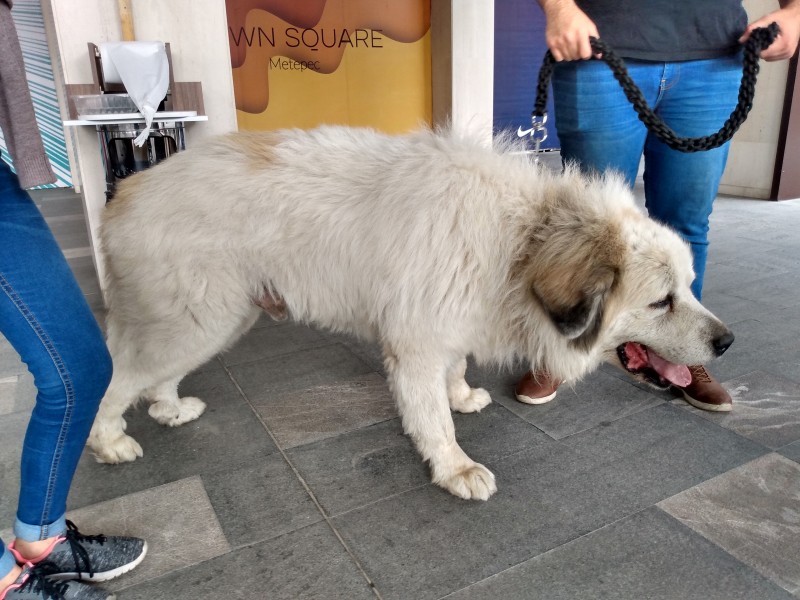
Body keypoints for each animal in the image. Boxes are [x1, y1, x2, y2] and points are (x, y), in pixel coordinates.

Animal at [87, 127, 732, 502]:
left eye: (690, 286)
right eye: (661, 300)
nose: (727, 343)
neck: (522, 240)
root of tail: (126, 189)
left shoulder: (448, 325)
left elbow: (455, 368)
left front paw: (461, 394)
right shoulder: (415, 344)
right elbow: (432, 421)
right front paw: (454, 468)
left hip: (213, 321)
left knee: (154, 378)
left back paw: (171, 410)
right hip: (198, 320)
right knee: (119, 377)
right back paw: (107, 442)